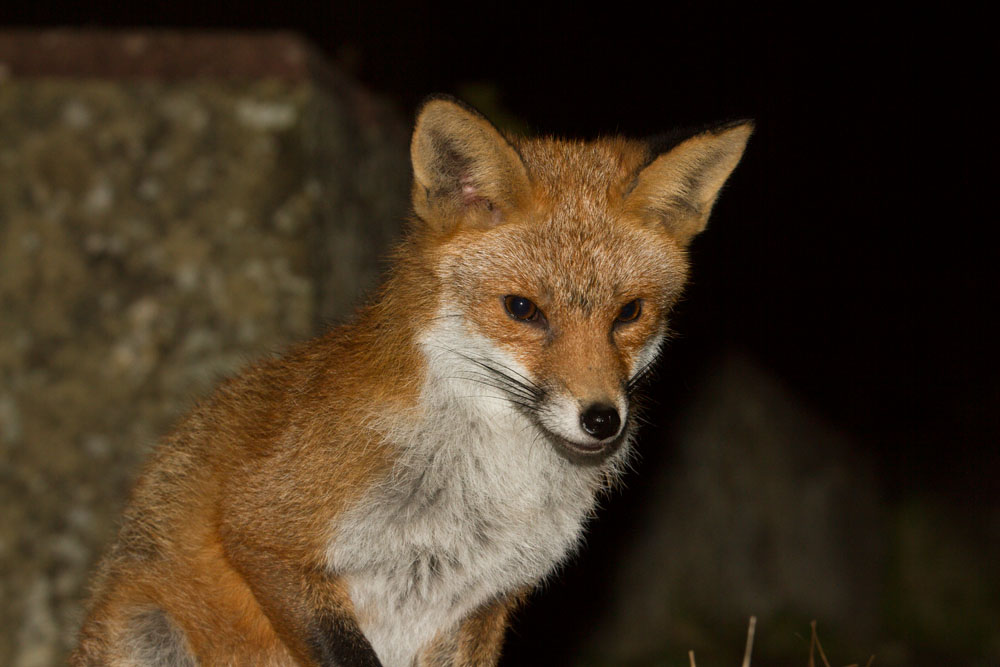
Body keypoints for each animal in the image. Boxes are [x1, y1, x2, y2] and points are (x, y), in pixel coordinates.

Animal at [71, 96, 751, 666]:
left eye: (629, 314)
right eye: (523, 310)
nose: (603, 419)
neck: (494, 485)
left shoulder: (485, 601)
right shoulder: (267, 533)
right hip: (149, 632)